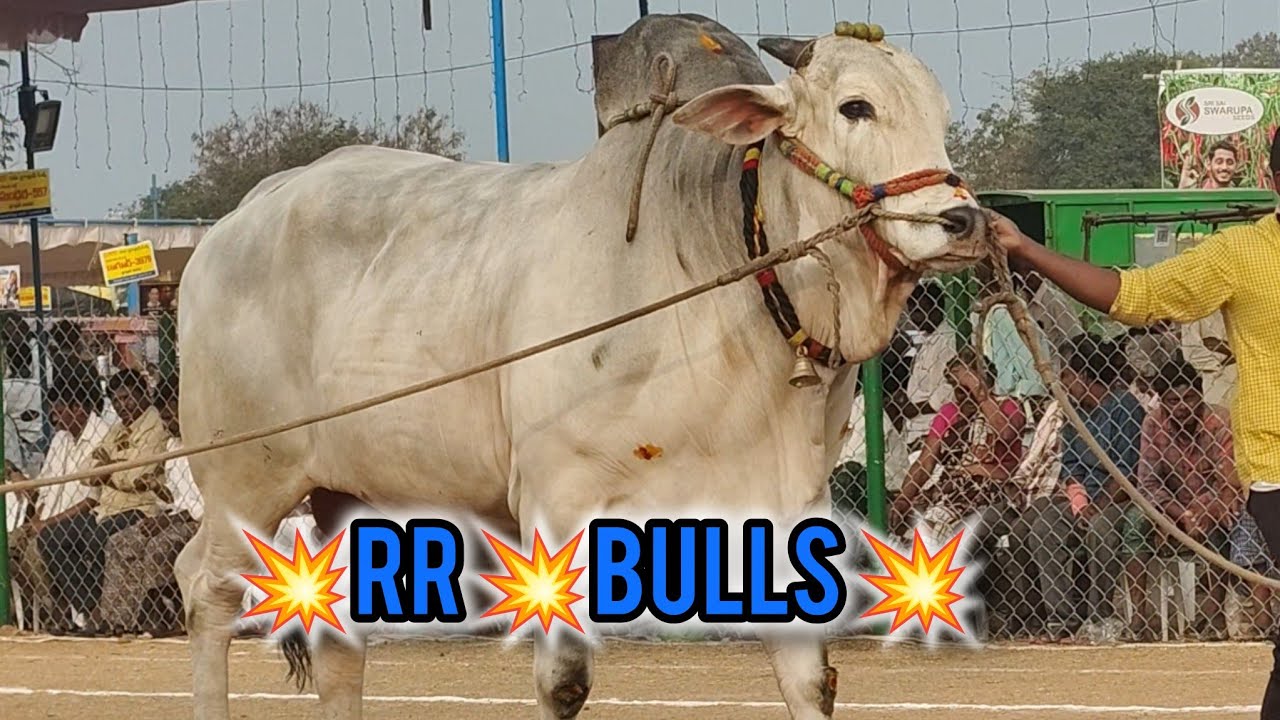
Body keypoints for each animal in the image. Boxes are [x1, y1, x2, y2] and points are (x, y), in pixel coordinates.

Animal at [175, 13, 986, 720]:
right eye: (857, 107)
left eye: (940, 112)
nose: (963, 221)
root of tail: (247, 211)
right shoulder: (557, 504)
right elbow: (564, 682)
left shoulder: (782, 511)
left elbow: (809, 679)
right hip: (245, 477)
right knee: (206, 592)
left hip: (346, 491)